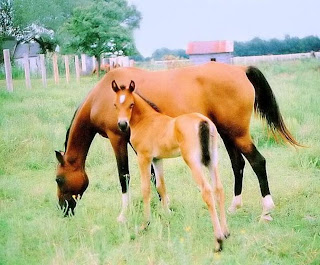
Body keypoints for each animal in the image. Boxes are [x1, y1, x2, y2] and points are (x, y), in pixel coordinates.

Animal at [55, 61, 300, 219]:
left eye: (58, 179)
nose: (63, 209)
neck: (104, 97)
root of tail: (240, 69)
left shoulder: (118, 139)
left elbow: (124, 176)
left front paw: (124, 215)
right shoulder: (140, 143)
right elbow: (153, 177)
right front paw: (162, 208)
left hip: (238, 134)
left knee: (258, 162)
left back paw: (267, 209)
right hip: (227, 133)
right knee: (238, 164)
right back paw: (233, 207)